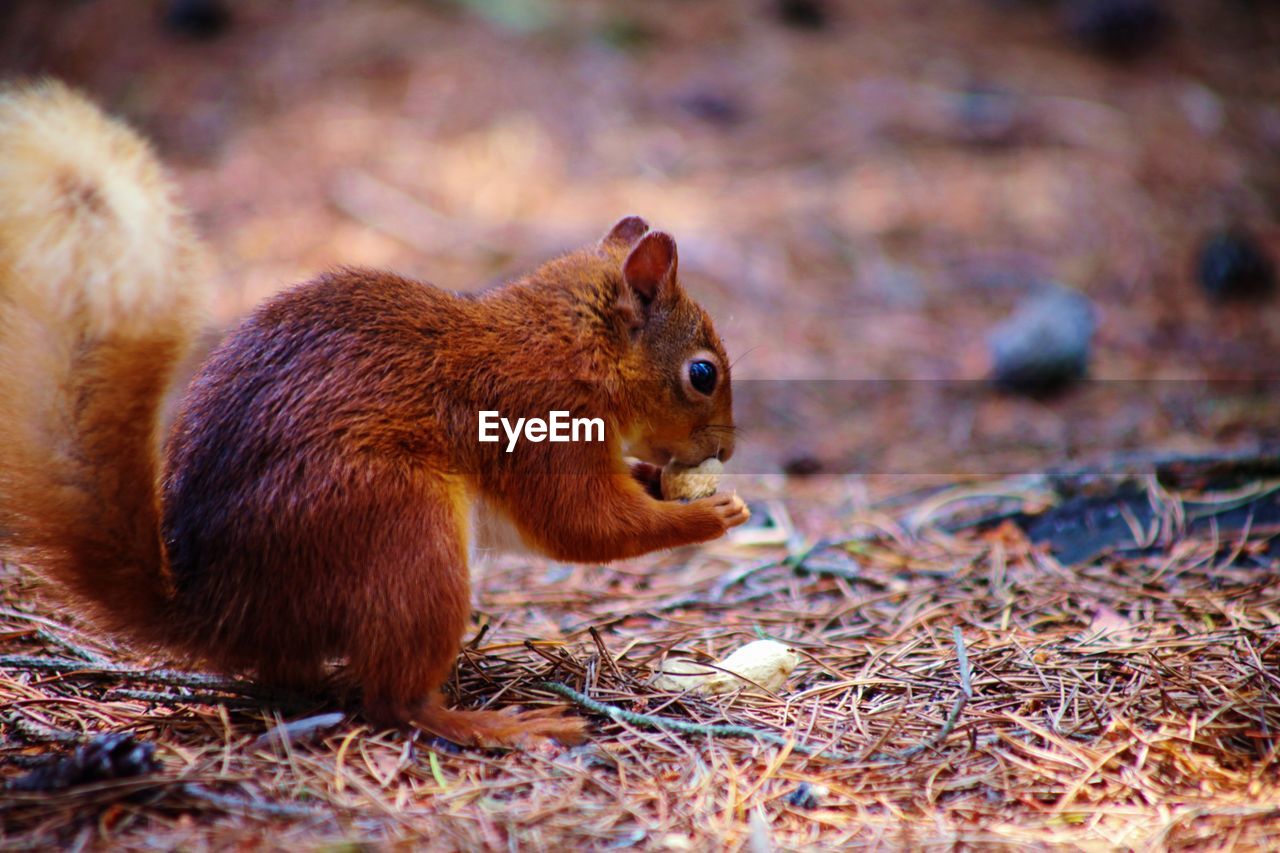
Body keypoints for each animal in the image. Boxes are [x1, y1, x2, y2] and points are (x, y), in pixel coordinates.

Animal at [0, 81, 747, 742]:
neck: (570, 346)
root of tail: (219, 610)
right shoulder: (537, 419)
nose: (729, 453)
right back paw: (491, 725)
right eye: (702, 373)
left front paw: (662, 482)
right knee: (394, 700)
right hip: (402, 531)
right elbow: (584, 527)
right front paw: (707, 514)